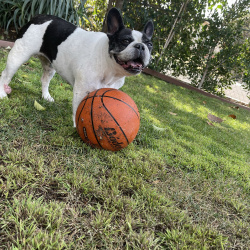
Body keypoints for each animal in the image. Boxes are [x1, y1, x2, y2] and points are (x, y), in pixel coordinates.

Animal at [0, 8, 153, 126]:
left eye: (150, 45)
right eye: (125, 41)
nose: (141, 46)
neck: (109, 67)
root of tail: (38, 17)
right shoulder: (81, 90)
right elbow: (79, 109)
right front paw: (77, 127)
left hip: (50, 65)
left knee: (44, 79)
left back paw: (46, 96)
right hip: (18, 56)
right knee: (5, 75)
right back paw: (2, 94)